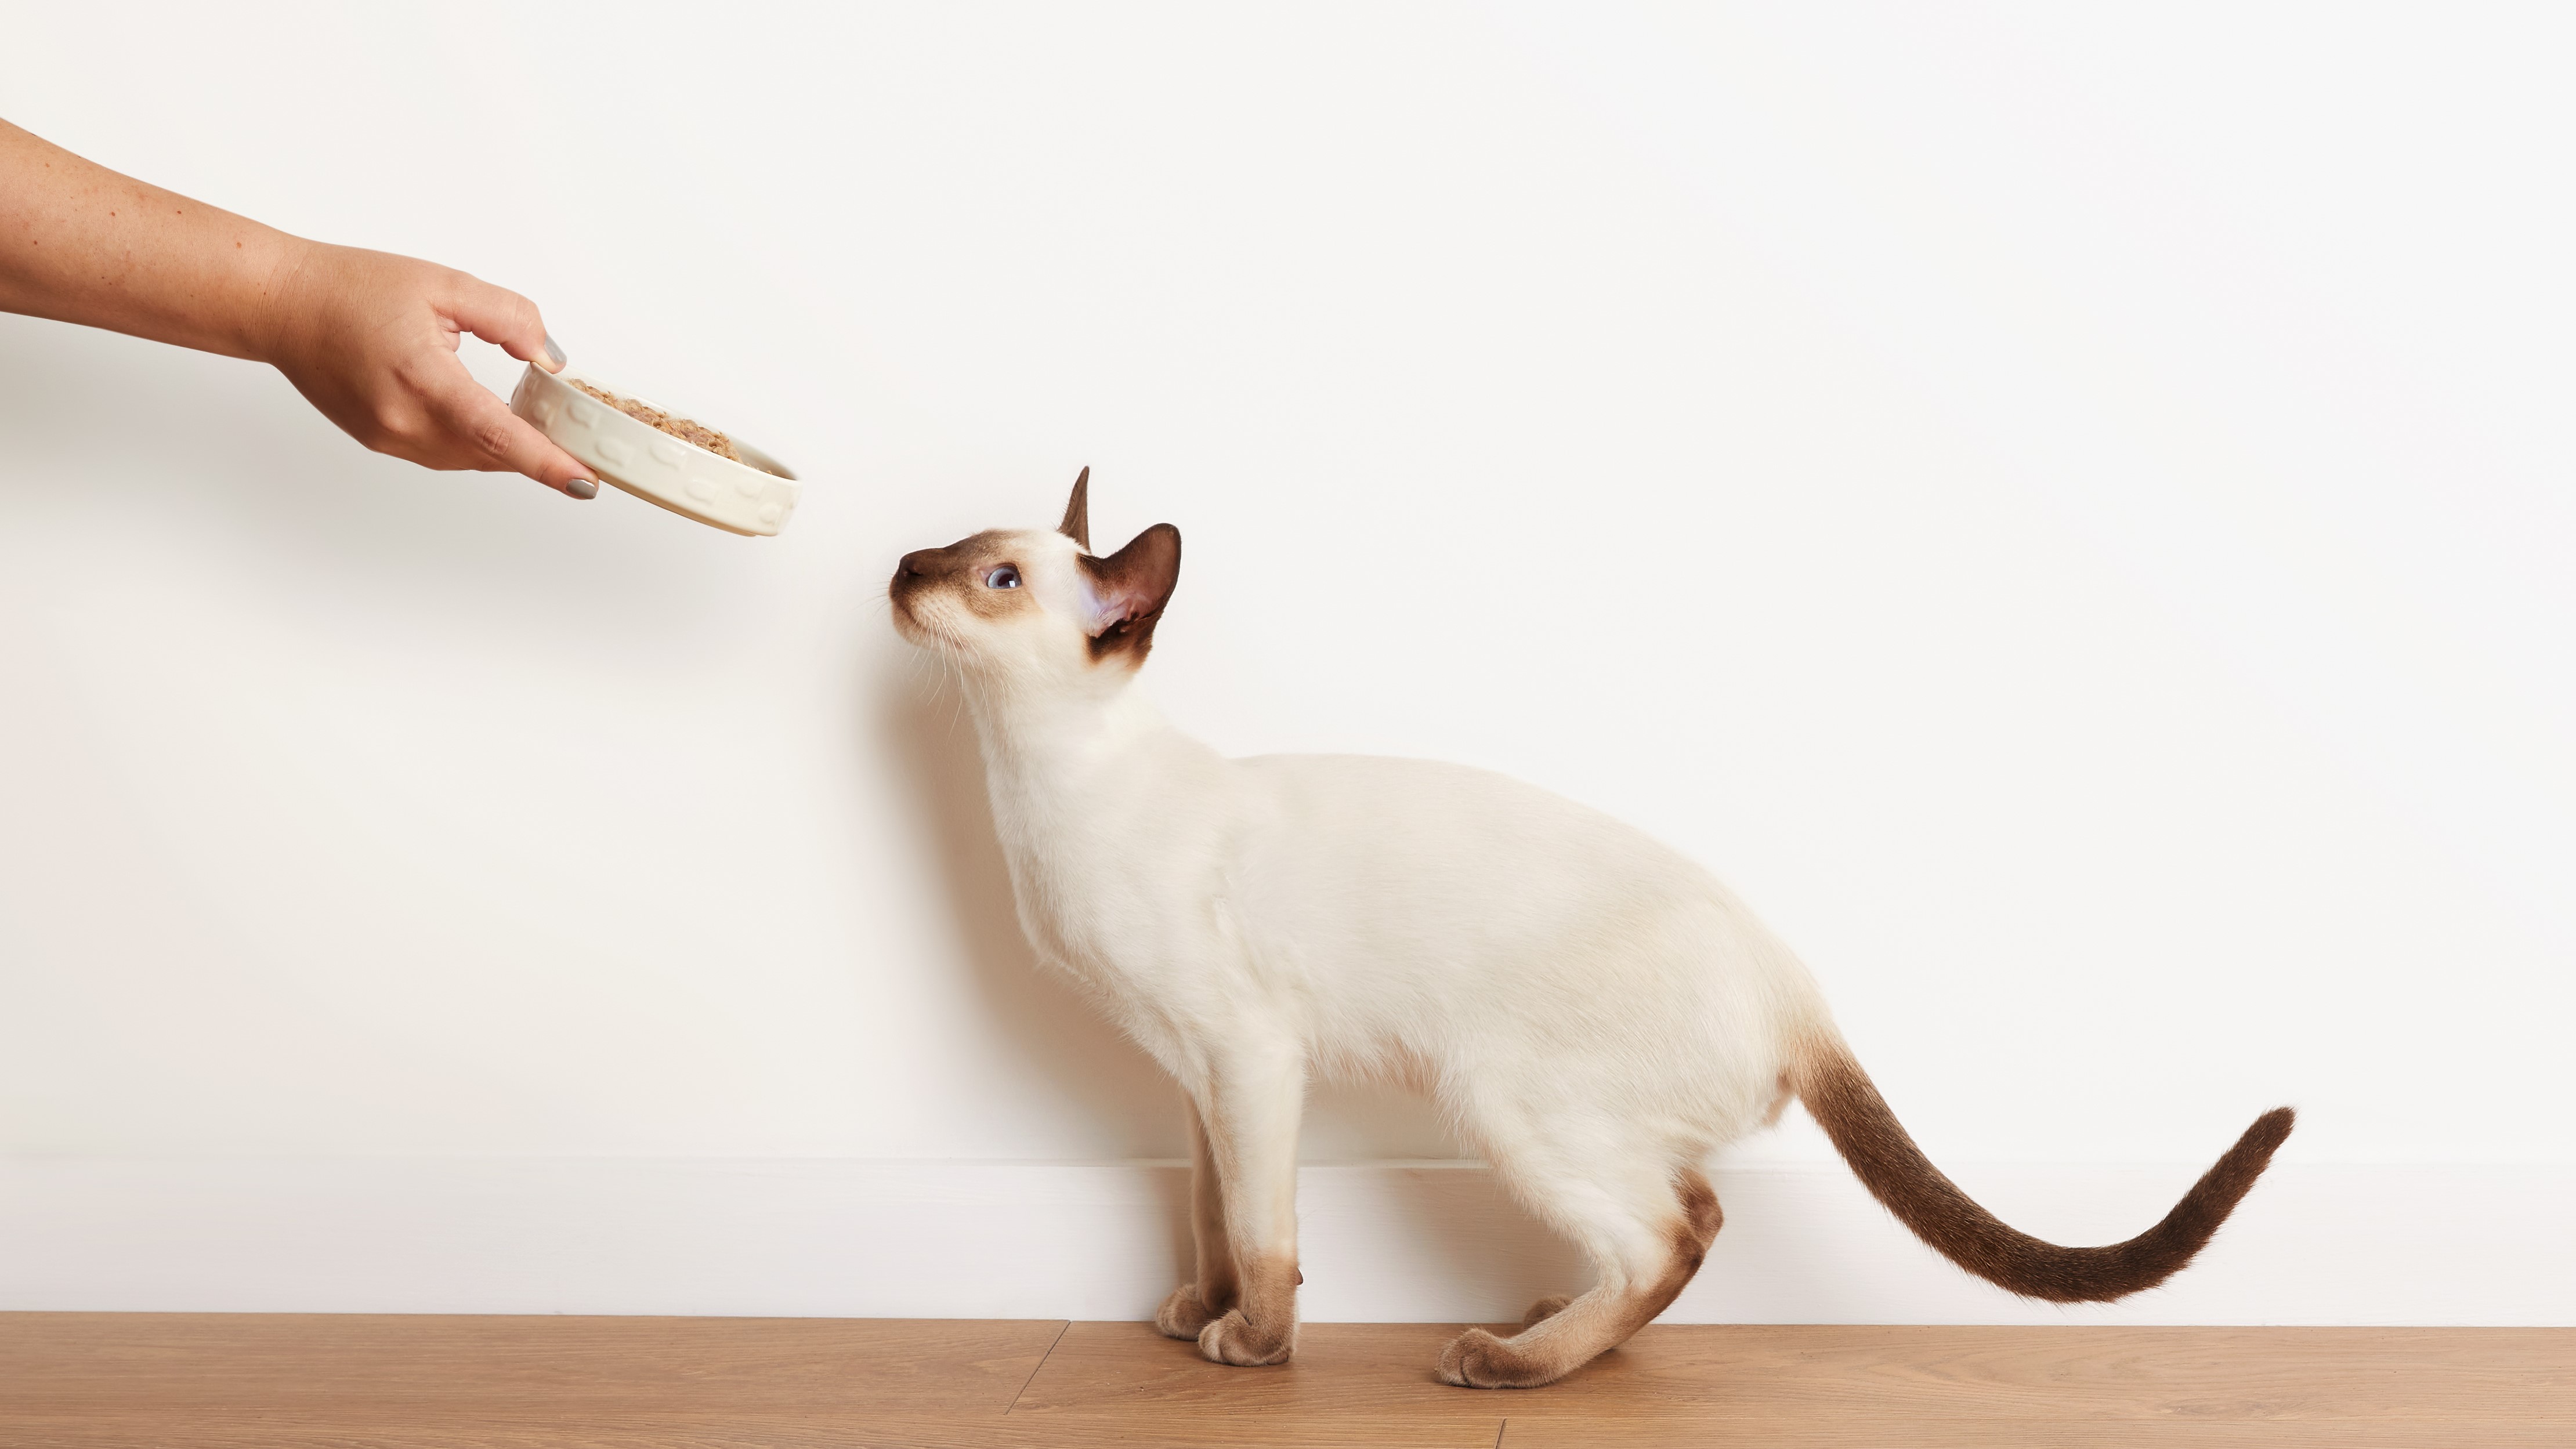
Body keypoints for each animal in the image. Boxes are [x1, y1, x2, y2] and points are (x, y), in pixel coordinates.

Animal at [891, 470, 2298, 1389]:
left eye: (996, 579)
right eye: (952, 550)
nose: (903, 571)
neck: (1040, 782)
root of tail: (1796, 984)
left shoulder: (1247, 1058)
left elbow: (1265, 1234)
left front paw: (1256, 1349)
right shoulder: (1201, 1083)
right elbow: (1211, 1218)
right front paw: (1198, 1312)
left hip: (1505, 1095)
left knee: (1670, 1236)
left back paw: (1508, 1359)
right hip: (1566, 1118)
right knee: (1693, 1212)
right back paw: (1546, 1318)